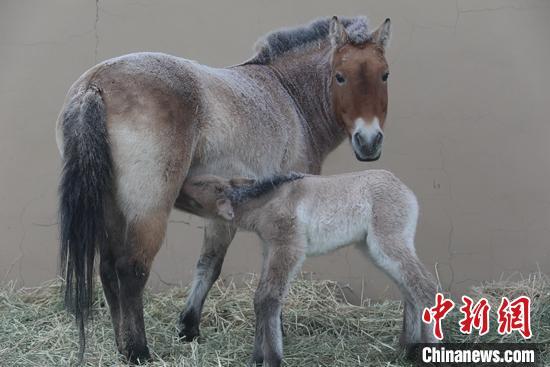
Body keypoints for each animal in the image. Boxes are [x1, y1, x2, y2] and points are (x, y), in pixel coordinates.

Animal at [56, 15, 392, 364]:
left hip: (111, 209)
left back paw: (122, 347)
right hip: (148, 210)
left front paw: (189, 328)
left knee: (108, 269)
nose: (369, 141)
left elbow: (208, 264)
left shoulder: (222, 212)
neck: (288, 95)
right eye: (340, 76)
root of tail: (94, 85)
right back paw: (138, 351)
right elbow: (261, 277)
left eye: (384, 74)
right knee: (131, 269)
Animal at [183, 171, 442, 366]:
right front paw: (257, 358)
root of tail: (406, 191)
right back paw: (406, 350)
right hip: (375, 249)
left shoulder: (289, 248)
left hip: (388, 244)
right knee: (409, 290)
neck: (269, 202)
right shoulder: (270, 249)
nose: (183, 181)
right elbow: (259, 299)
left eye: (200, 186)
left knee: (425, 287)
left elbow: (268, 299)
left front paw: (273, 358)